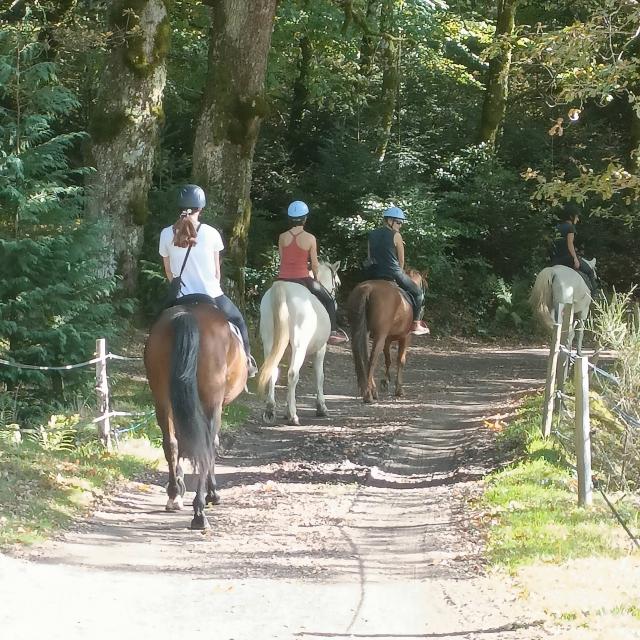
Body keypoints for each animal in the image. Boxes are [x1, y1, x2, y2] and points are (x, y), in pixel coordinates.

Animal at [145, 300, 248, 528]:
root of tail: (186, 313)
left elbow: (182, 444)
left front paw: (179, 486)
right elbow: (211, 444)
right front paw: (212, 494)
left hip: (163, 399)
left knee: (171, 444)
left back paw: (174, 495)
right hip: (210, 401)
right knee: (205, 446)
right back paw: (200, 512)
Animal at [258, 260, 342, 424]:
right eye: (337, 284)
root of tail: (283, 288)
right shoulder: (321, 349)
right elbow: (319, 374)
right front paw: (321, 407)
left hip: (269, 342)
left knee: (272, 370)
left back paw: (270, 410)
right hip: (299, 346)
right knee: (292, 374)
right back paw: (293, 416)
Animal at [344, 272, 424, 402]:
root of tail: (367, 288)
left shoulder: (388, 339)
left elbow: (388, 359)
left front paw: (385, 382)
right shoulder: (405, 338)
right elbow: (400, 360)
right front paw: (399, 389)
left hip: (360, 331)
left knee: (363, 356)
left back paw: (370, 390)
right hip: (379, 336)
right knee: (372, 359)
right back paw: (369, 395)